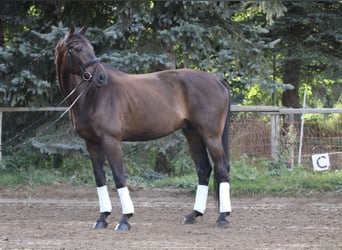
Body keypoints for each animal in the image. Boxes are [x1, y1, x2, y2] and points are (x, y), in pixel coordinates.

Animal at [54, 24, 232, 231]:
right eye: (78, 48)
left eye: (91, 47)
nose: (101, 77)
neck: (92, 95)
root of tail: (218, 80)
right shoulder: (91, 143)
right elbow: (100, 178)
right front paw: (102, 218)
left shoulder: (111, 140)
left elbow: (119, 177)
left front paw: (125, 219)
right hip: (193, 133)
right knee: (203, 169)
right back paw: (193, 215)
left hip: (211, 135)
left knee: (222, 167)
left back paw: (222, 217)